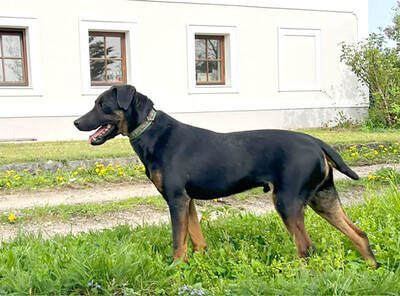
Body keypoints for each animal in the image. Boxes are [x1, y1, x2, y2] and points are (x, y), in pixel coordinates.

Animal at [75, 84, 378, 268]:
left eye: (102, 105)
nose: (76, 122)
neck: (152, 133)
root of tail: (317, 142)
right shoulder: (188, 200)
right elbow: (196, 238)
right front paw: (198, 263)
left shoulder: (176, 200)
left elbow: (177, 242)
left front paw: (176, 268)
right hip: (322, 198)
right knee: (359, 235)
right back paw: (372, 268)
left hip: (288, 201)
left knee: (306, 247)